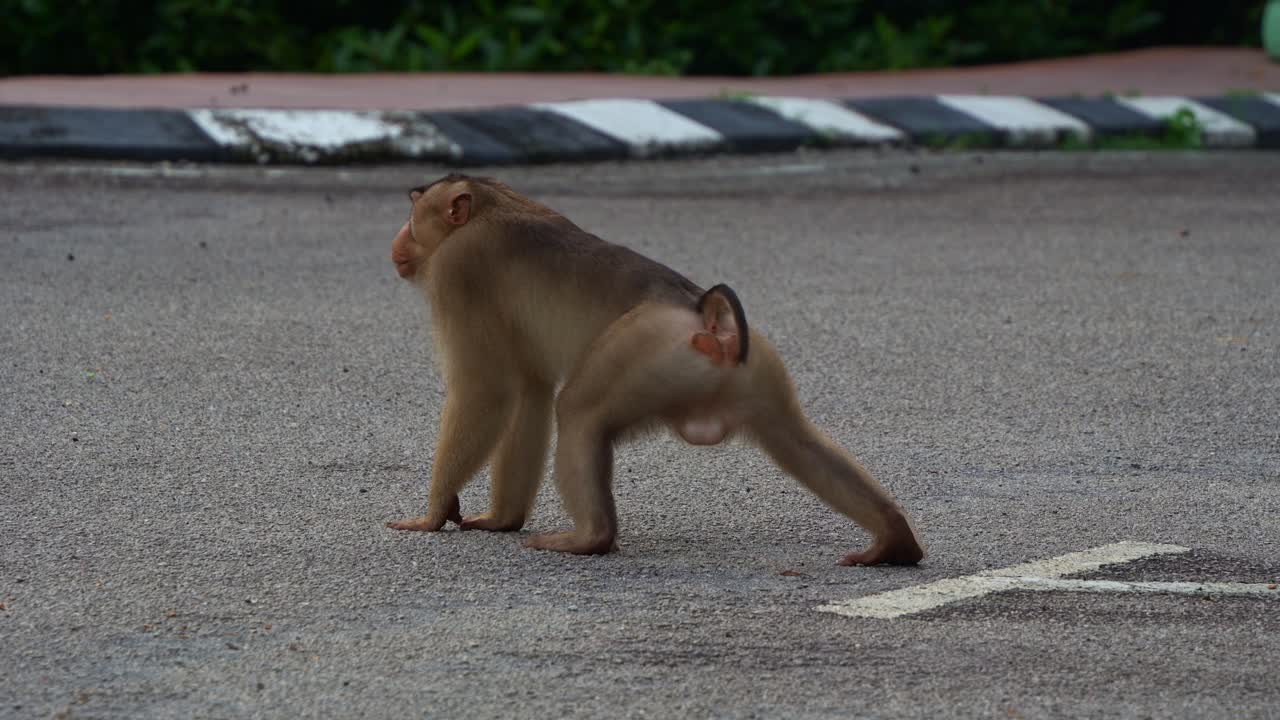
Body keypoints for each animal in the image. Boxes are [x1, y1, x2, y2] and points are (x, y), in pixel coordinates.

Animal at [385, 173, 925, 566]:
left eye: (413, 219)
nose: (396, 241)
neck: (493, 204)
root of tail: (708, 319)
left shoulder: (459, 269)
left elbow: (488, 390)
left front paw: (434, 512)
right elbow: (529, 391)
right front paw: (502, 518)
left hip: (645, 350)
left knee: (580, 411)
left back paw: (591, 538)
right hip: (759, 368)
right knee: (797, 439)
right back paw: (893, 538)